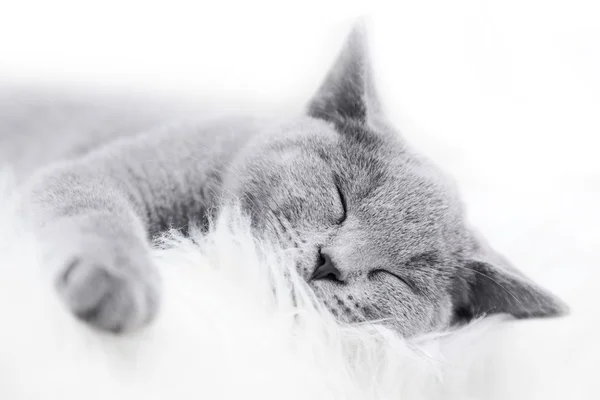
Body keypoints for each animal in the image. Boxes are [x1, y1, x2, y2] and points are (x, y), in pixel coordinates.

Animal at [1, 22, 568, 338]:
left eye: (395, 276)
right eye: (340, 195)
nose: (329, 263)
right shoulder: (109, 170)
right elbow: (94, 209)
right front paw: (115, 282)